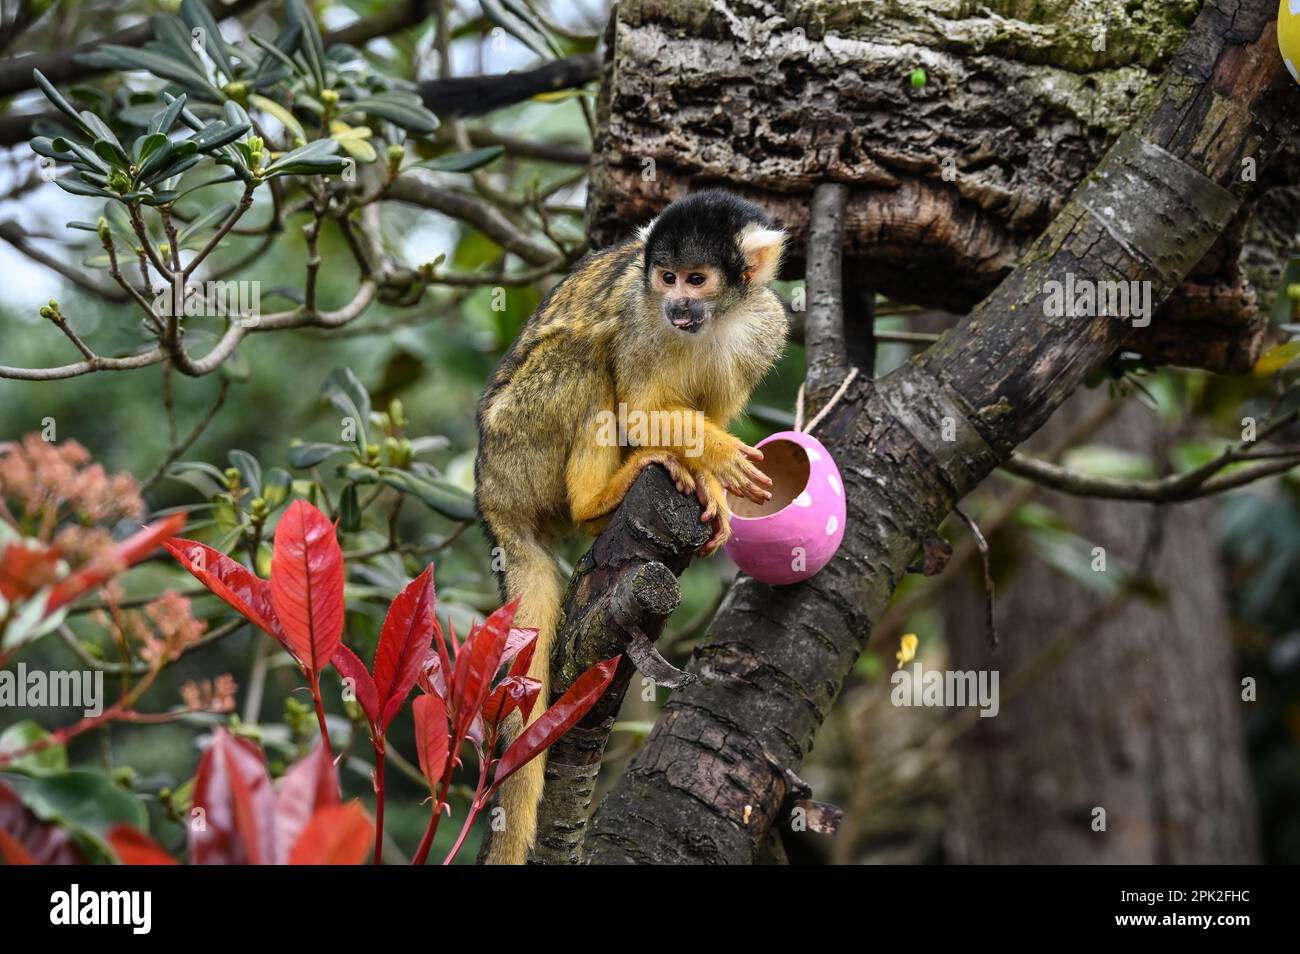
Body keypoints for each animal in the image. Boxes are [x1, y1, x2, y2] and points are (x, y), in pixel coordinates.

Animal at [473, 187, 785, 868]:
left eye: (696, 279)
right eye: (666, 278)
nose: (675, 304)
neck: (716, 320)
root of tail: (490, 499)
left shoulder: (764, 327)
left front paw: (712, 481)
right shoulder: (640, 319)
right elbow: (640, 402)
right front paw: (720, 455)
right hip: (518, 445)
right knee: (583, 352)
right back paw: (599, 500)